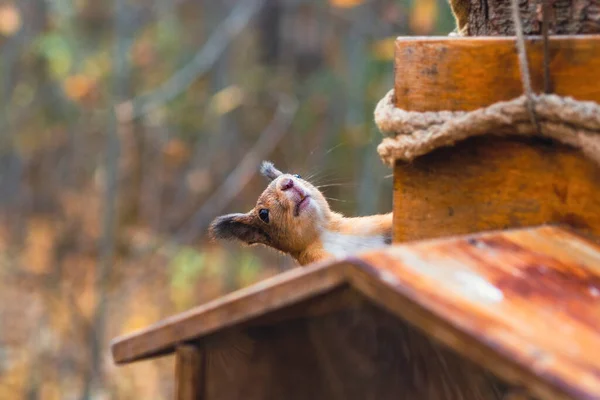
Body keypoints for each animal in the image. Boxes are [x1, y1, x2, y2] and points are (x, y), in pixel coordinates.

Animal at [210, 161, 394, 268]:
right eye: (263, 214)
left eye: (297, 175)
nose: (287, 182)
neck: (326, 234)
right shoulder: (319, 260)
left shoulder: (369, 225)